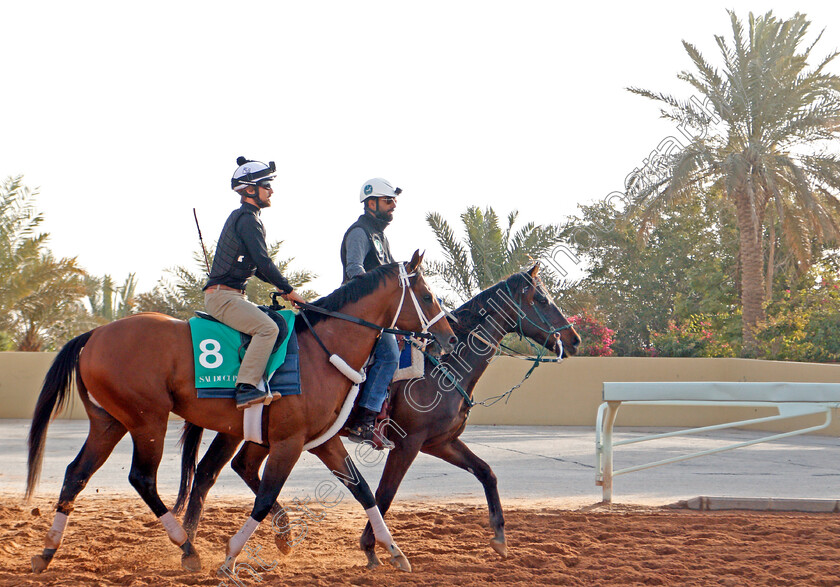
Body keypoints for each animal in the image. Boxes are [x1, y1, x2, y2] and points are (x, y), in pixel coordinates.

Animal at [26, 250, 456, 576]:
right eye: (428, 296)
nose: (449, 338)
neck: (322, 349)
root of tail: (94, 334)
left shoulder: (322, 441)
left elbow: (363, 490)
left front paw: (394, 551)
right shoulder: (288, 442)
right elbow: (264, 499)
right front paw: (232, 555)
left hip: (110, 422)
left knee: (76, 474)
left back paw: (47, 551)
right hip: (148, 421)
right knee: (142, 478)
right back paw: (187, 548)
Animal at [171, 262, 576, 564]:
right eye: (542, 298)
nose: (573, 340)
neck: (444, 366)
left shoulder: (441, 442)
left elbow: (486, 473)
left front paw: (500, 538)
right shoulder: (409, 444)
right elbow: (384, 492)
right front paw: (373, 547)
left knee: (233, 469)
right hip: (242, 429)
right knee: (209, 472)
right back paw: (193, 543)